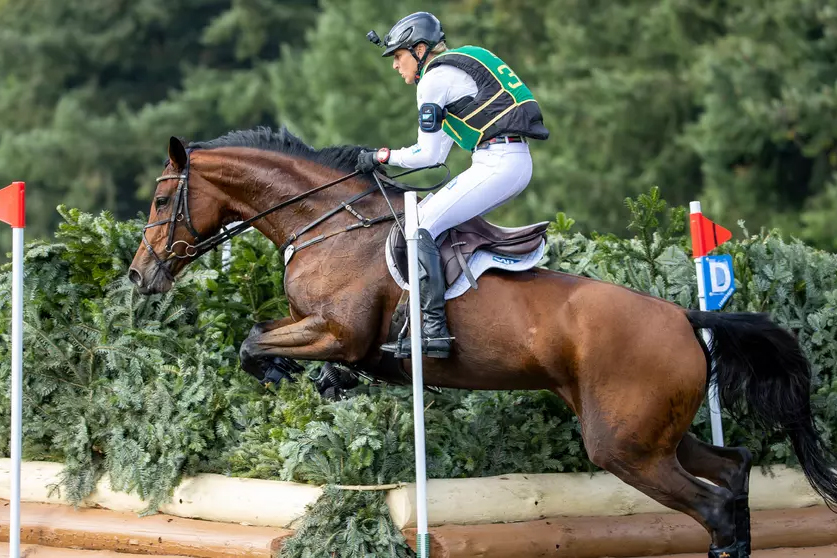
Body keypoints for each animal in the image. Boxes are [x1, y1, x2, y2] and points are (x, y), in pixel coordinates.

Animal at [129, 128, 836, 558]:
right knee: (734, 469)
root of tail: (685, 317)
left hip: (622, 445)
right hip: (648, 432)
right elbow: (265, 343)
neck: (325, 224)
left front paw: (289, 376)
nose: (140, 276)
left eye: (162, 200)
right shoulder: (329, 334)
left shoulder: (337, 332)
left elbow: (253, 341)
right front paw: (324, 385)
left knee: (713, 504)